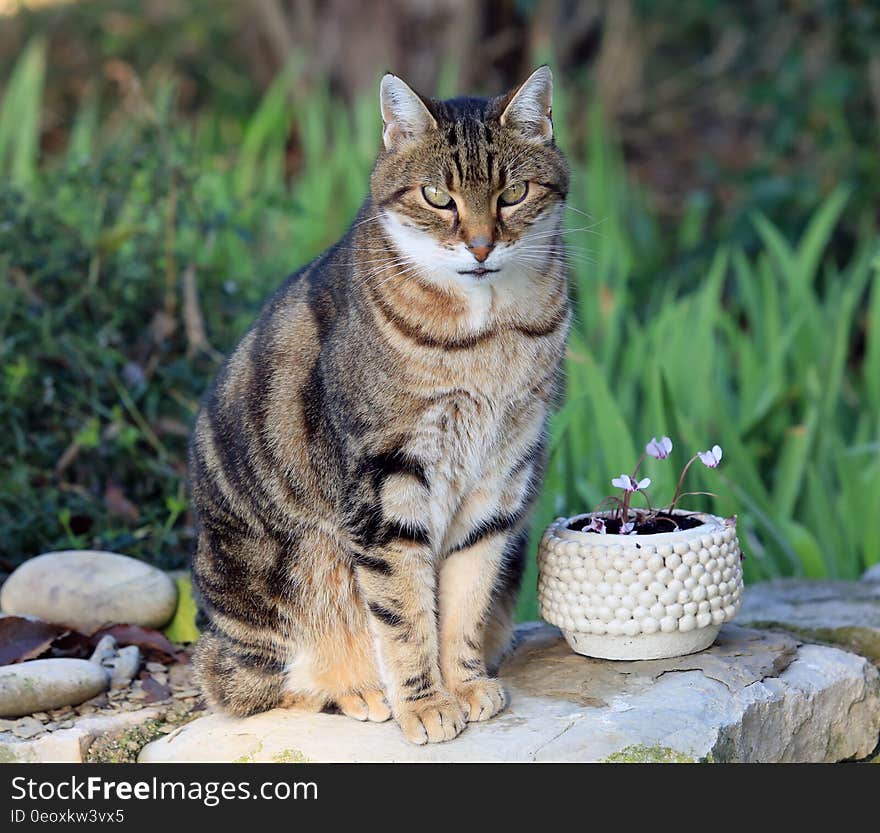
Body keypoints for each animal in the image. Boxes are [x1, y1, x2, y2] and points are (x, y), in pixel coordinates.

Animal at [188, 63, 568, 740]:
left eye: (514, 193)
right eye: (437, 196)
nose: (480, 246)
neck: (488, 336)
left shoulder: (500, 481)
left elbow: (465, 601)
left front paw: (464, 685)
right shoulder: (386, 484)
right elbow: (405, 613)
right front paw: (424, 704)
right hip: (275, 592)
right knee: (244, 685)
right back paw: (360, 691)